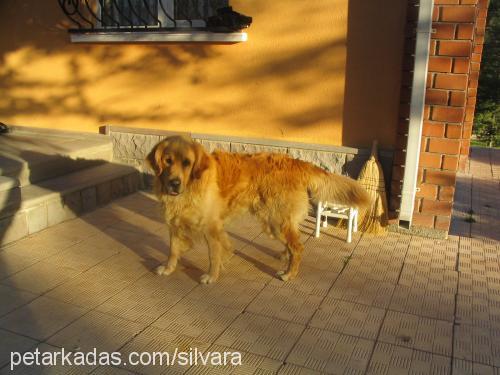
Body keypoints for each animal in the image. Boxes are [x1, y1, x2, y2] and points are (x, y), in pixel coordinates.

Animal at [146, 137, 370, 284]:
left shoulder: (212, 228)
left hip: (276, 221)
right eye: (167, 161)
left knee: (298, 247)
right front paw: (168, 268)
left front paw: (211, 276)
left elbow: (214, 255)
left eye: (187, 163)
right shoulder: (173, 223)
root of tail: (297, 162)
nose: (174, 183)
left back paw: (289, 274)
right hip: (274, 223)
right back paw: (285, 259)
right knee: (292, 244)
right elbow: (173, 249)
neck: (191, 186)